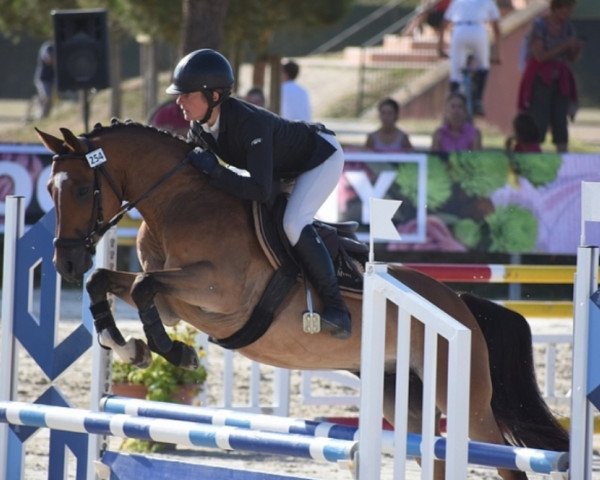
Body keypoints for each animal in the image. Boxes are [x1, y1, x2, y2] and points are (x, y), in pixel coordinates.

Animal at [36, 122, 568, 478]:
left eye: (81, 188)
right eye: (48, 189)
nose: (65, 263)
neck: (177, 202)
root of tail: (457, 306)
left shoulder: (218, 293)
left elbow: (143, 286)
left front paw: (176, 353)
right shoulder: (174, 300)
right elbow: (109, 281)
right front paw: (126, 346)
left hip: (466, 403)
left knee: (504, 457)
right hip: (403, 395)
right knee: (430, 450)